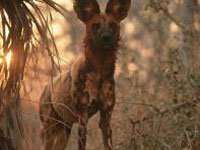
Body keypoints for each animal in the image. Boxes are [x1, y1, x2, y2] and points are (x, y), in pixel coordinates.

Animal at [39, 0, 131, 149]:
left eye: (113, 25)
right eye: (95, 25)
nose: (106, 37)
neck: (100, 70)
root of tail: (46, 86)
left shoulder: (106, 118)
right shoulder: (83, 118)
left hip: (64, 130)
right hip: (50, 131)